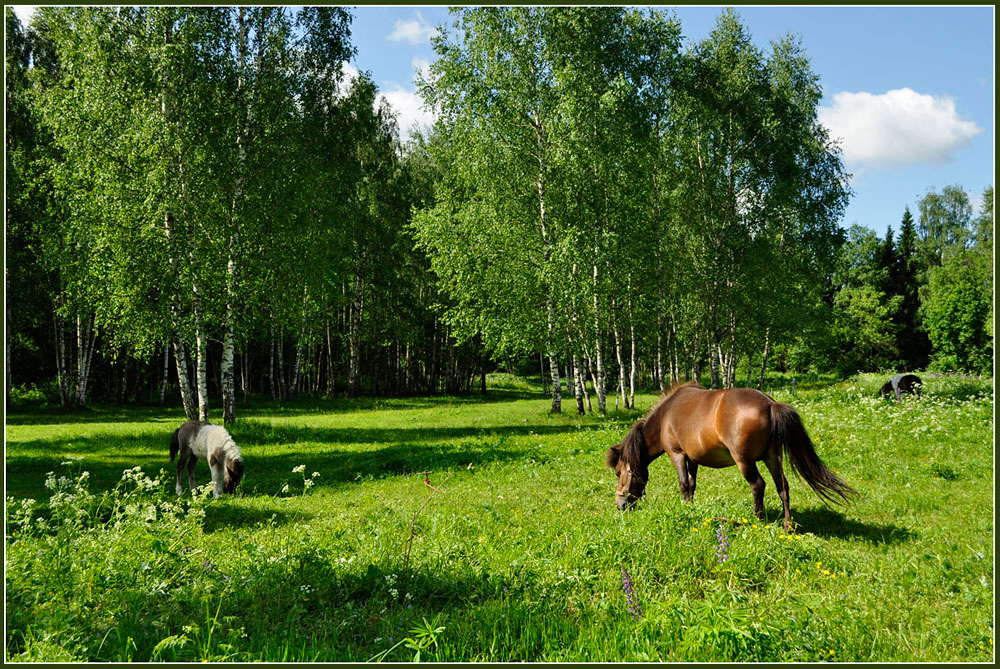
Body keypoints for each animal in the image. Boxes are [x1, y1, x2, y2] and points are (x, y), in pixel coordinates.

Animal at [604, 382, 857, 531]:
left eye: (618, 473)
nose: (620, 504)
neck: (665, 417)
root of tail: (770, 404)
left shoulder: (677, 455)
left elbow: (684, 484)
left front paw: (684, 509)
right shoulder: (694, 459)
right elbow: (692, 485)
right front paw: (692, 509)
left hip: (745, 461)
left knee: (758, 485)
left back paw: (757, 520)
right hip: (772, 457)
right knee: (782, 486)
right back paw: (787, 524)